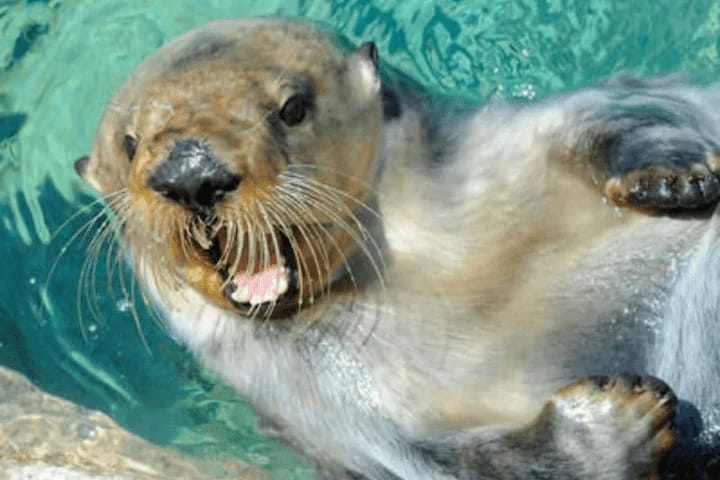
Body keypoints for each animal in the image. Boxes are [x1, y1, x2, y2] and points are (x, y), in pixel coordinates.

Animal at [74, 17, 720, 479]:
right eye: (129, 144)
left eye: (292, 108)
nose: (190, 174)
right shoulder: (324, 412)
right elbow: (463, 464)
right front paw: (619, 420)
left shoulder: (511, 140)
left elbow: (618, 115)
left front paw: (674, 176)